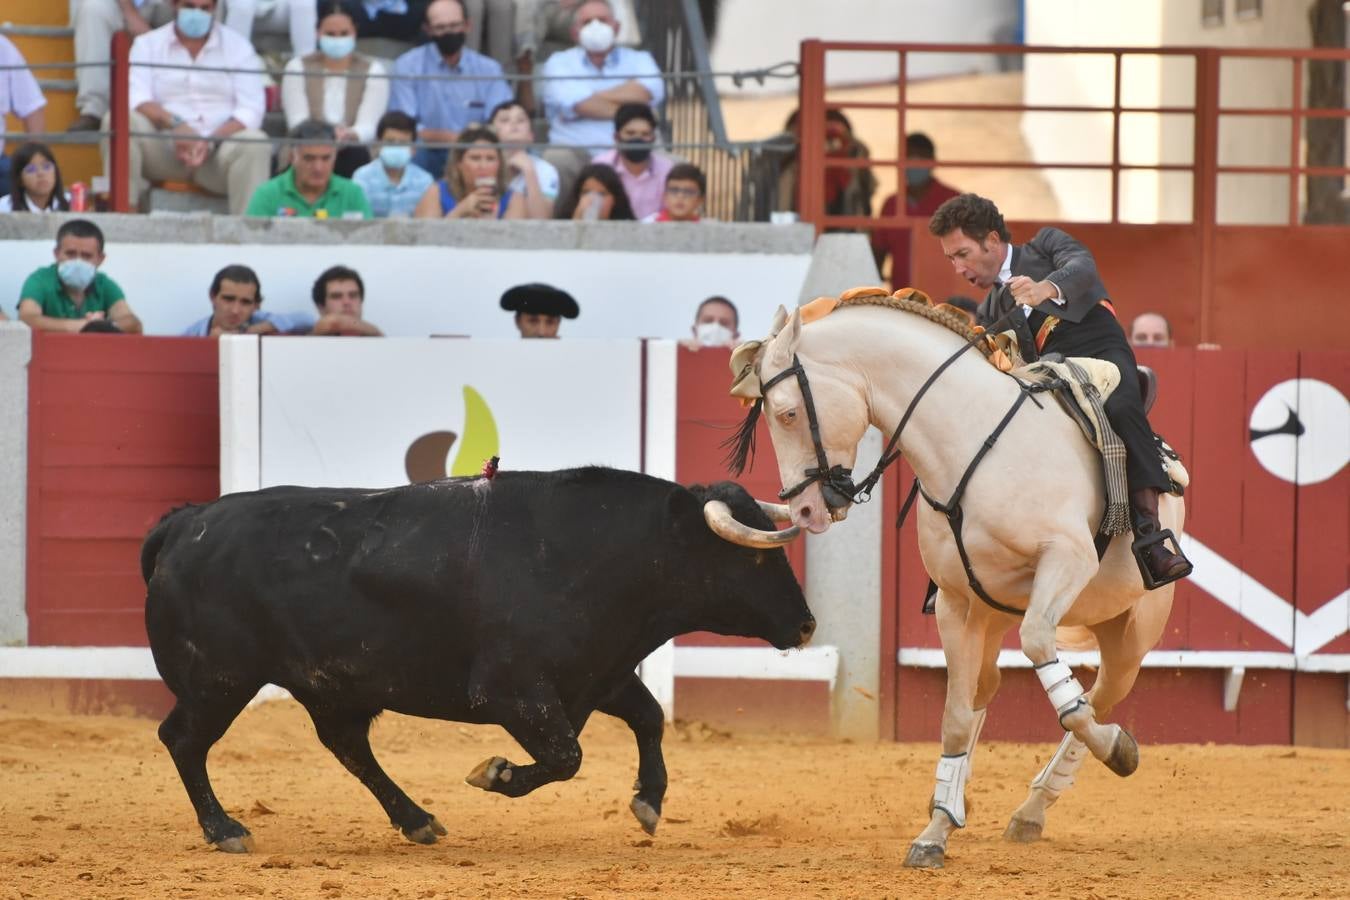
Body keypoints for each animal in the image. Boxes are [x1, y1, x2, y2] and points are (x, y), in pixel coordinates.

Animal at [139, 469, 810, 858]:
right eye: (753, 558)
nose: (805, 624)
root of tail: (188, 522)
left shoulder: (597, 674)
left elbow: (648, 718)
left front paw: (648, 803)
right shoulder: (513, 692)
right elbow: (566, 756)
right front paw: (495, 774)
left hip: (328, 686)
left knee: (348, 746)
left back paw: (417, 821)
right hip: (221, 680)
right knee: (183, 739)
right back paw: (225, 830)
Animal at [734, 294, 1188, 863]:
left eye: (789, 413)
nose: (808, 510)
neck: (972, 441)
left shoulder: (1068, 559)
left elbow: (1047, 660)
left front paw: (1119, 747)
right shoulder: (954, 603)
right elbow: (954, 713)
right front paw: (934, 832)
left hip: (1133, 629)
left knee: (1101, 694)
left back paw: (1038, 804)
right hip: (991, 615)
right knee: (986, 687)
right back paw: (957, 803)